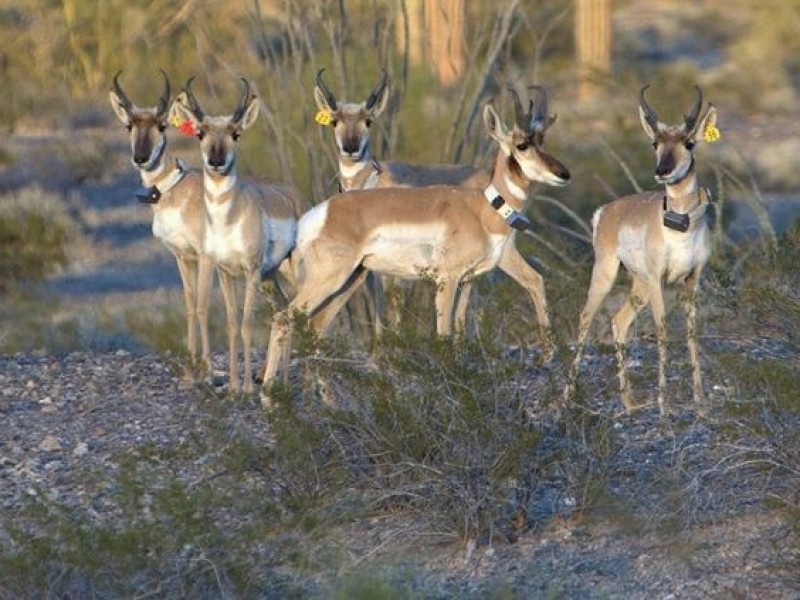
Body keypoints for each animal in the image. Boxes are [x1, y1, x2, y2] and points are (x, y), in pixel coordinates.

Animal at [108, 70, 212, 378]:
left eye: (162, 125)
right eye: (128, 125)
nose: (140, 158)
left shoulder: (204, 258)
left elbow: (202, 306)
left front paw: (207, 366)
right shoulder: (182, 257)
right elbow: (190, 304)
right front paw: (190, 367)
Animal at [170, 76, 306, 394]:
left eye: (236, 133)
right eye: (201, 132)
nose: (216, 161)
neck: (227, 220)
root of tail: (291, 194)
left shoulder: (250, 271)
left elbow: (246, 325)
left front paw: (245, 387)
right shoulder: (225, 272)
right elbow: (232, 324)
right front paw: (233, 385)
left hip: (289, 272)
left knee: (298, 312)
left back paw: (291, 382)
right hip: (270, 277)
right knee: (282, 311)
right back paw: (276, 378)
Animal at [564, 84, 720, 414]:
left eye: (689, 143)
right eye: (655, 142)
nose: (663, 170)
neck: (680, 227)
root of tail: (606, 211)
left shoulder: (692, 279)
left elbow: (691, 334)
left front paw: (700, 402)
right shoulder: (660, 280)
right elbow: (662, 331)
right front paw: (663, 405)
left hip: (640, 285)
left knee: (618, 322)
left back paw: (630, 402)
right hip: (609, 275)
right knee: (585, 318)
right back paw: (567, 398)